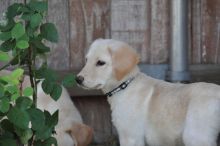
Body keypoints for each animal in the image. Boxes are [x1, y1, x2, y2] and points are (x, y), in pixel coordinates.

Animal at [76, 38, 220, 146]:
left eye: (100, 63)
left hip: (196, 136)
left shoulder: (131, 137)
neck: (125, 85)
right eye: (86, 60)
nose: (77, 79)